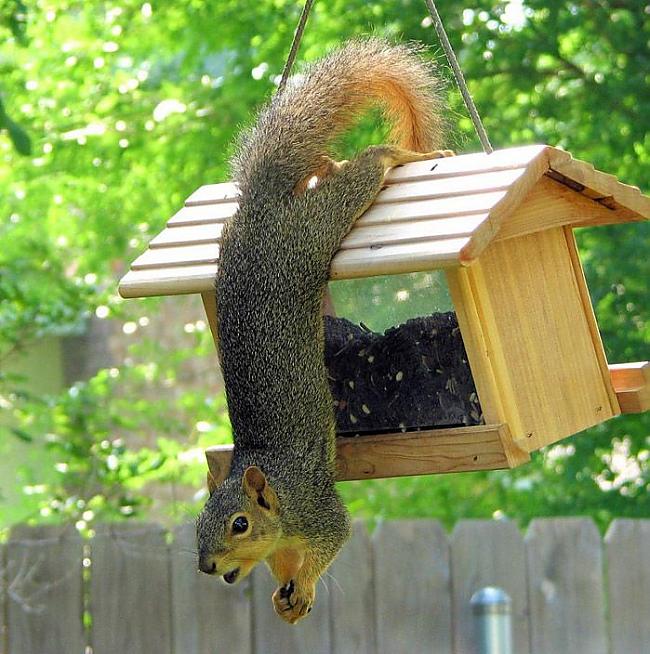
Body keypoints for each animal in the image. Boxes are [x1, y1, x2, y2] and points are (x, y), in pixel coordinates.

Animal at [195, 37, 454, 624]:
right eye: (197, 523)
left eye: (239, 524)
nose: (205, 566)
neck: (281, 499)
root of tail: (256, 209)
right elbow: (281, 564)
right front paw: (284, 595)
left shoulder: (319, 508)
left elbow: (334, 539)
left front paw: (306, 585)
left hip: (315, 227)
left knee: (364, 170)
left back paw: (397, 156)